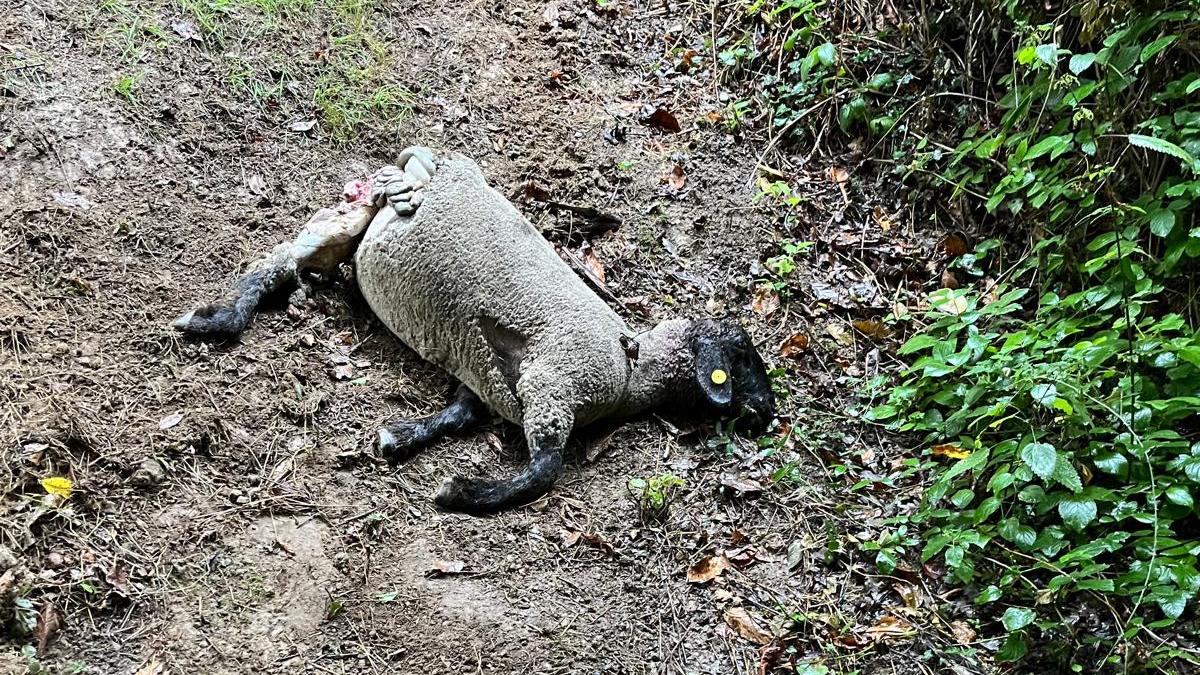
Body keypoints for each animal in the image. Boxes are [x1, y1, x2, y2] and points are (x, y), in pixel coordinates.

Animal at [173, 147, 775, 514]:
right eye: (743, 353)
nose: (766, 414)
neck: (631, 368)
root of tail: (431, 162)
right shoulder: (549, 386)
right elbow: (544, 471)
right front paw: (461, 491)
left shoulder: (485, 376)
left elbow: (462, 411)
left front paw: (401, 437)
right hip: (353, 215)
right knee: (276, 264)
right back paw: (212, 322)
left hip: (353, 224)